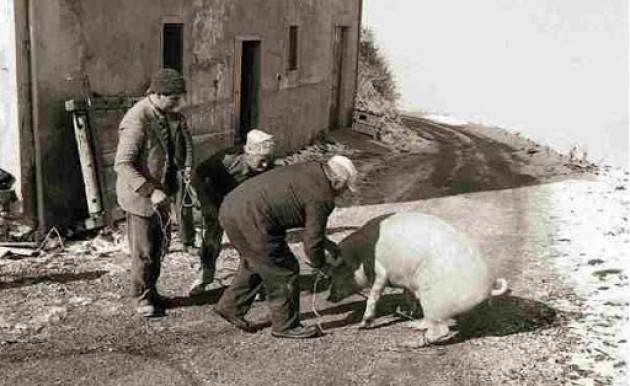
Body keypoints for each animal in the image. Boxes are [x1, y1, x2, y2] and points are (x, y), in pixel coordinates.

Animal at [326, 211, 508, 344]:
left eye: (338, 270)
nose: (329, 298)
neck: (361, 255)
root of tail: (487, 287)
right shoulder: (406, 280)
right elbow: (408, 295)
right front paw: (408, 312)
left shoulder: (380, 271)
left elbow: (373, 295)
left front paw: (362, 325)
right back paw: (412, 325)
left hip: (434, 301)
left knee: (441, 329)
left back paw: (413, 343)